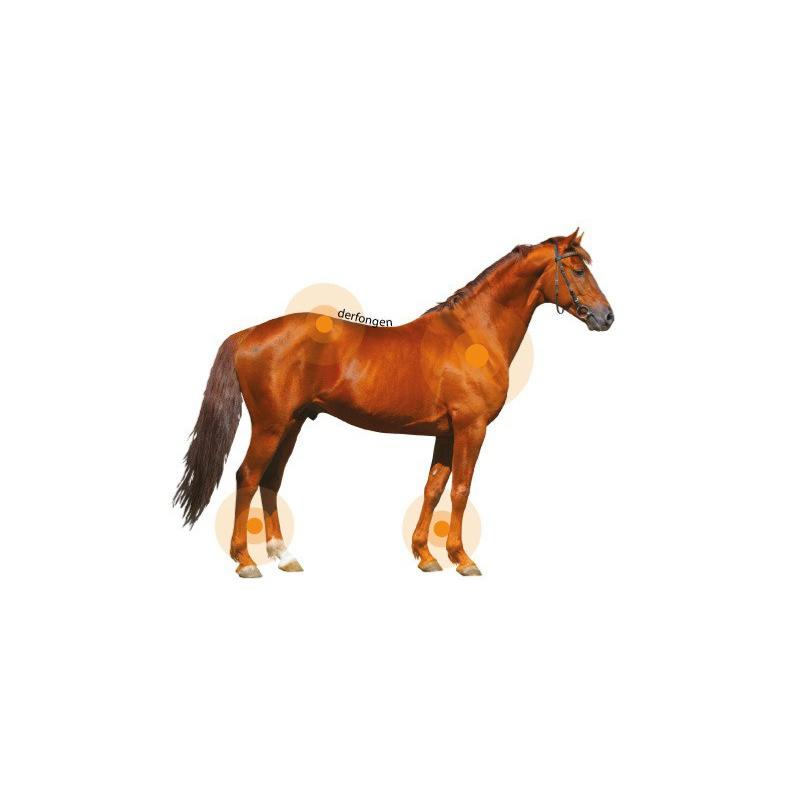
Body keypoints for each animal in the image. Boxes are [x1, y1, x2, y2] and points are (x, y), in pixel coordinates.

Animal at [174, 229, 614, 577]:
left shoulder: (446, 433)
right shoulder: (471, 427)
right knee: (247, 477)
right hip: (271, 425)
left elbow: (433, 488)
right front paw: (462, 558)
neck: (473, 332)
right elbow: (461, 489)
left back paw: (284, 556)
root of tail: (249, 334)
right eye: (578, 270)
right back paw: (246, 561)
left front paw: (425, 556)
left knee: (271, 480)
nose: (607, 317)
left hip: (292, 424)